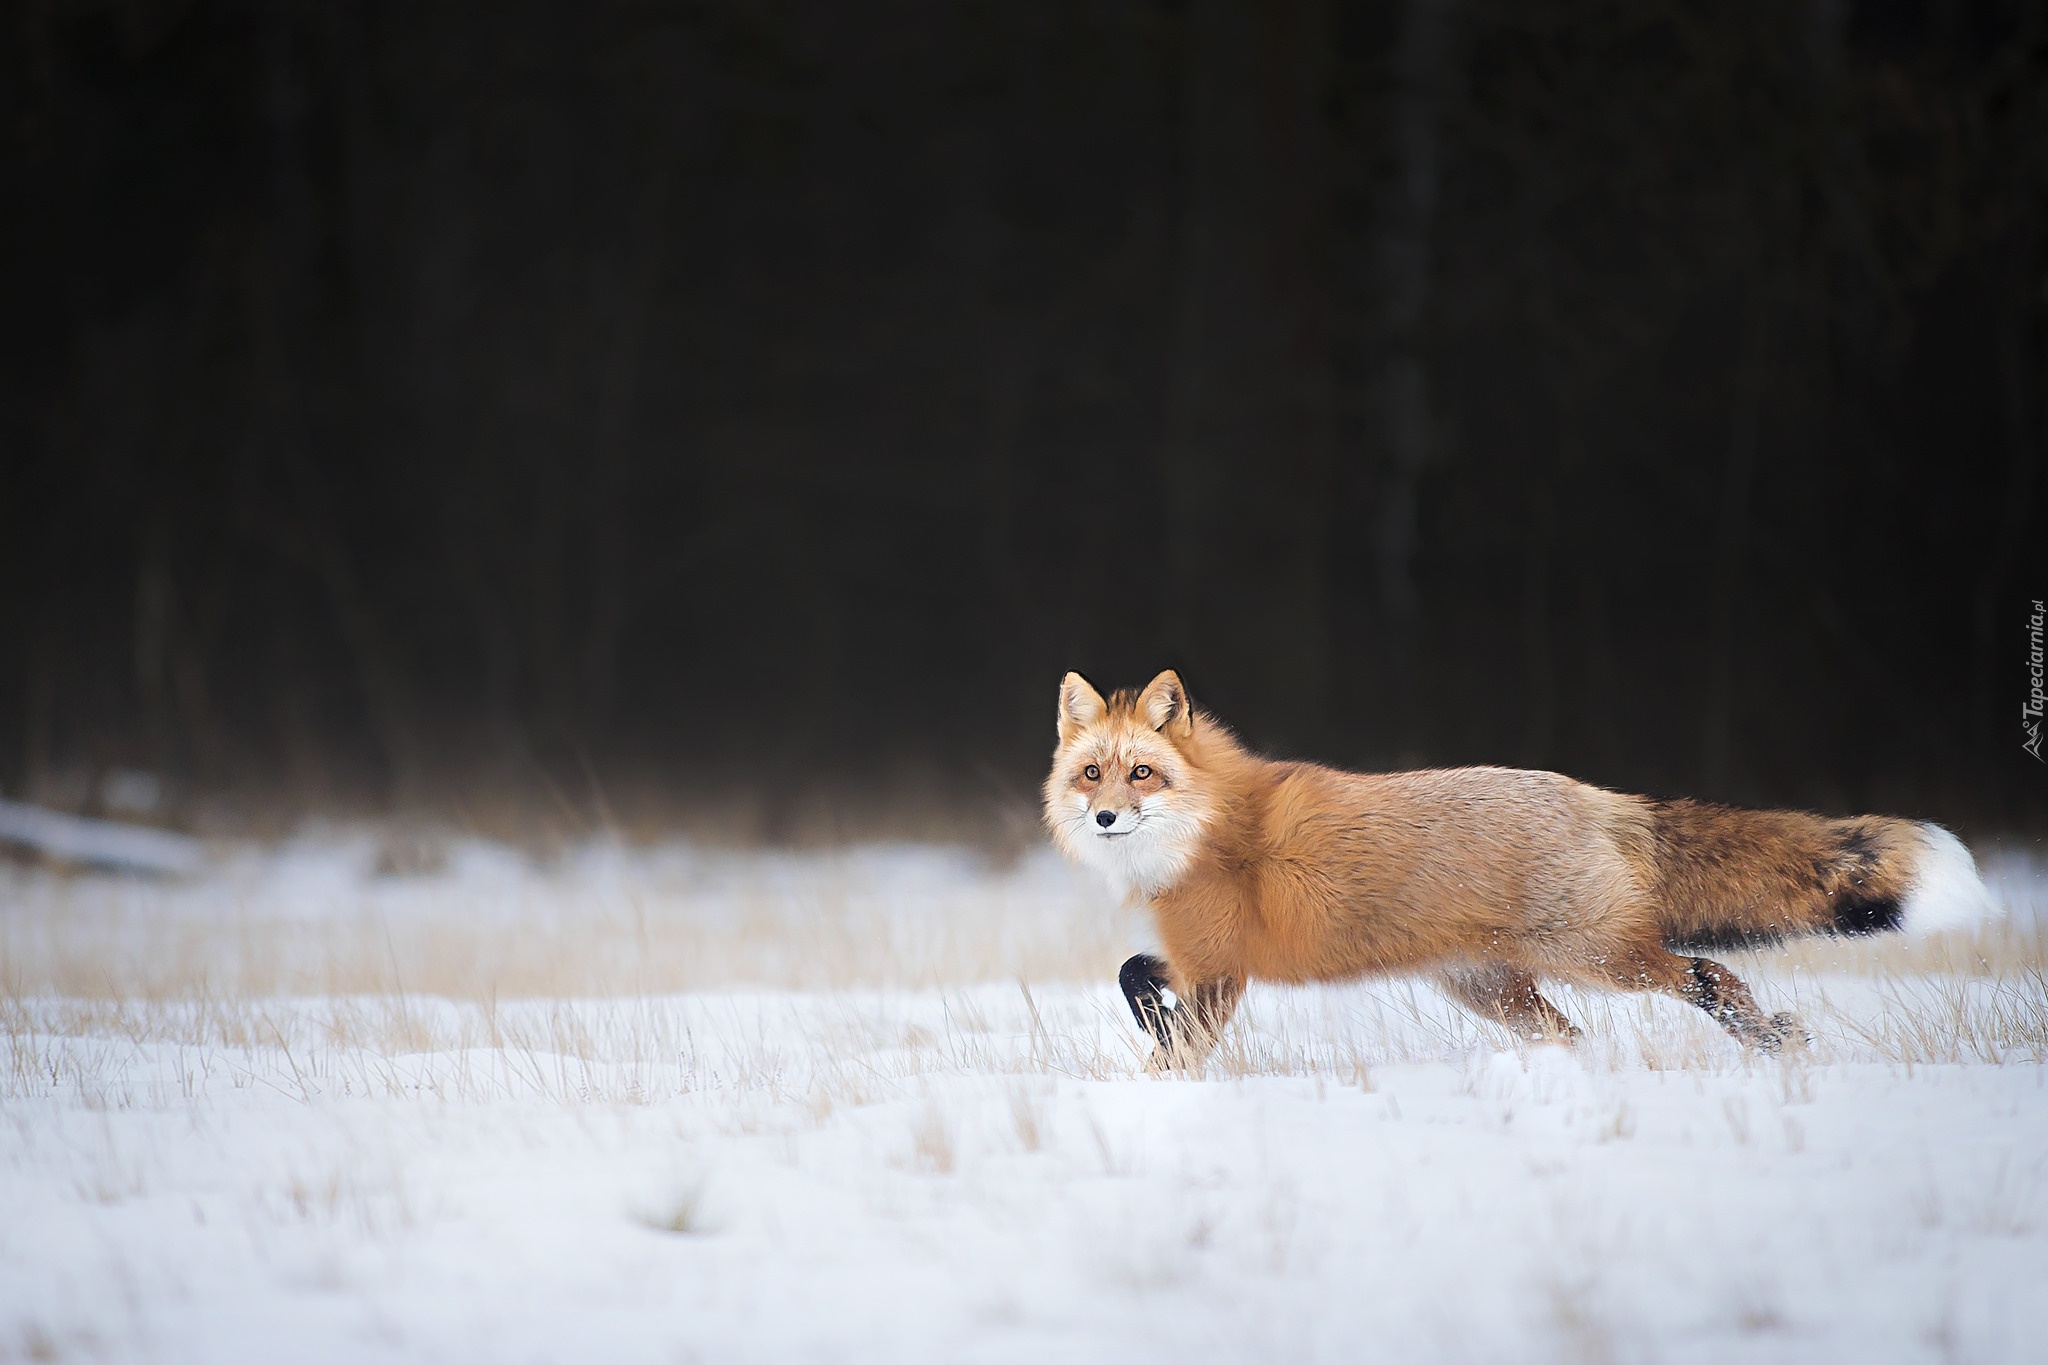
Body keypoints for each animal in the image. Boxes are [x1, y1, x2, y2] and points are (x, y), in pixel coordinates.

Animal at [1040, 667, 1998, 1064]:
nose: (1106, 815)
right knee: (1575, 1034)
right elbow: (1134, 976)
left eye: (1141, 773)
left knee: (1709, 973)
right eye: (1092, 773)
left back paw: (1768, 1040)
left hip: (1598, 957)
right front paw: (1158, 1054)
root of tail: (1593, 795)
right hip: (1497, 991)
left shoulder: (1222, 968)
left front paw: (1165, 1081)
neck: (1206, 831)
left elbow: (1163, 1016)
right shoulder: (1203, 959)